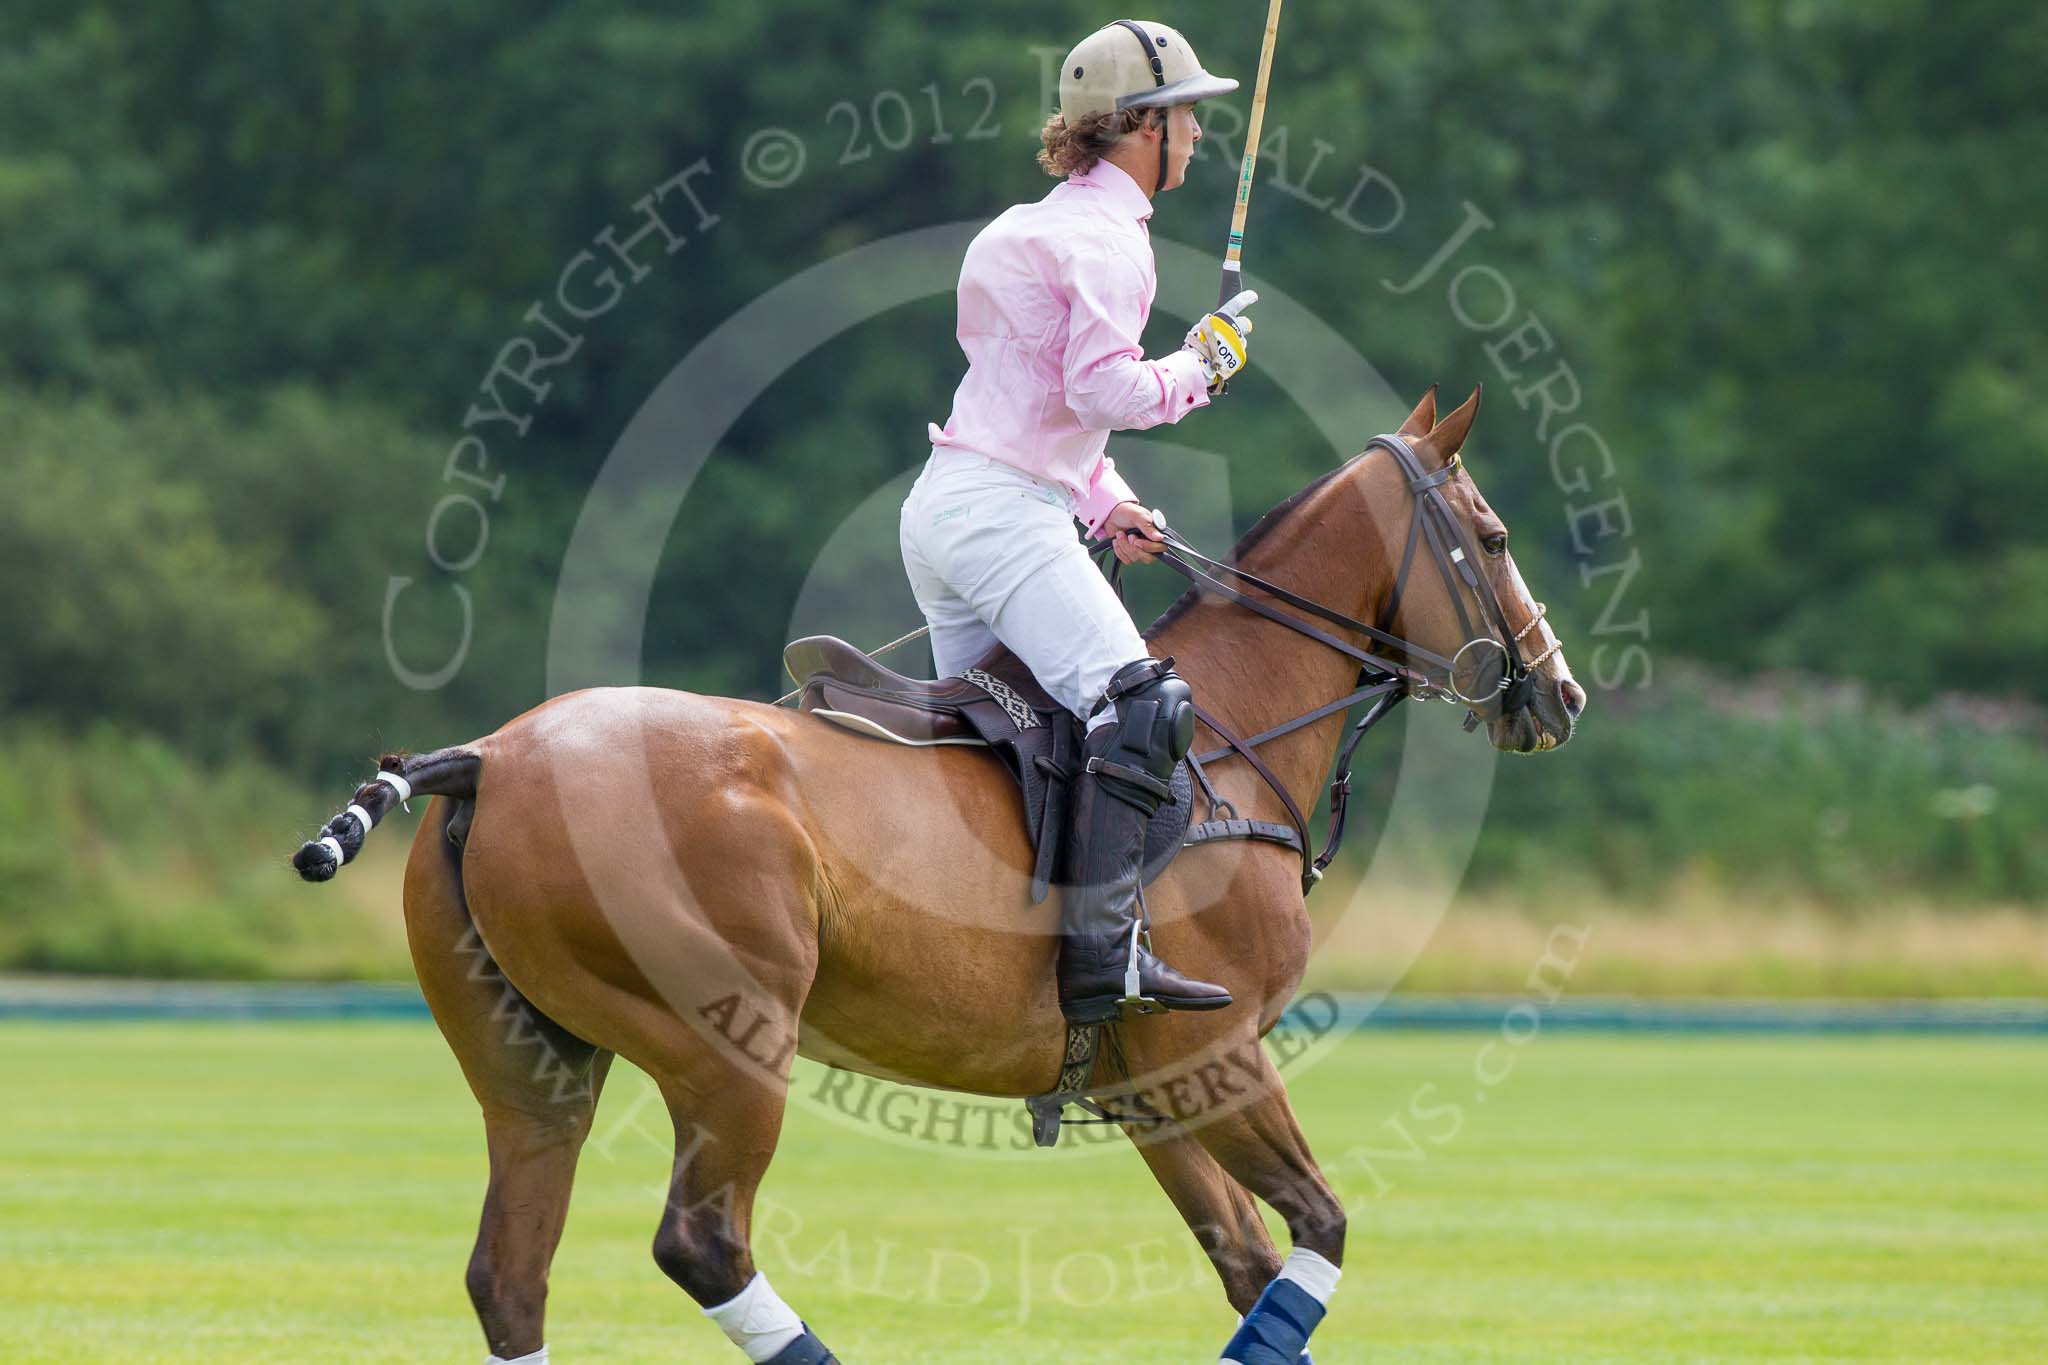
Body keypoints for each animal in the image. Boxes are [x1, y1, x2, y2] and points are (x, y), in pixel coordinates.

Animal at [296, 386, 1581, 1365]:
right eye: (1494, 538)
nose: (1559, 694)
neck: (1226, 743)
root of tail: (489, 757)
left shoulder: (1149, 1087)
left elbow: (1248, 1259)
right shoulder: (1214, 1051)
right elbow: (1320, 1228)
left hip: (534, 1064)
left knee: (510, 1274)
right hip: (728, 1040)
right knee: (701, 1245)